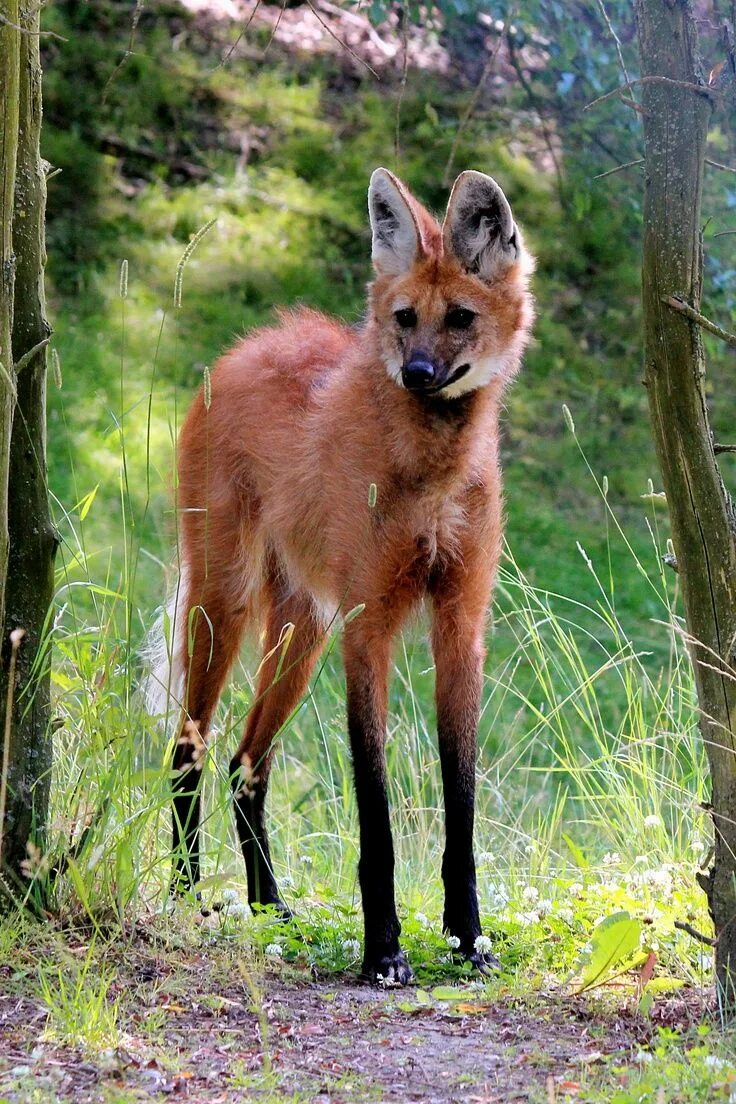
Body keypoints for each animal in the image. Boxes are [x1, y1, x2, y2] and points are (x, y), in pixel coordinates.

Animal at [145, 165, 536, 984]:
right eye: (403, 318)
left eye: (459, 318)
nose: (417, 372)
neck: (432, 472)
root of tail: (249, 344)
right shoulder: (370, 627)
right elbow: (375, 811)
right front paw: (384, 950)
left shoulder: (459, 626)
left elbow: (462, 801)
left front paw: (469, 938)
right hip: (229, 603)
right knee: (189, 749)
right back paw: (185, 894)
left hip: (305, 627)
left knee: (246, 766)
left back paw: (270, 906)